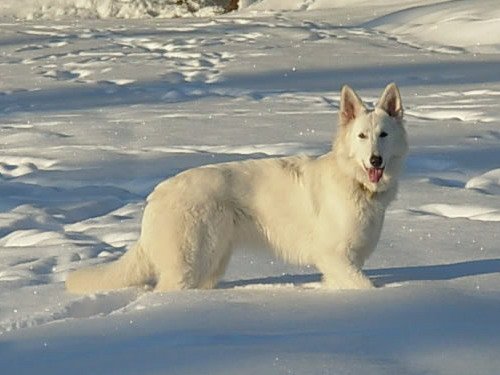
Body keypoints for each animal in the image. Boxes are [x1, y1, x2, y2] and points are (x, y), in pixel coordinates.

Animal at [66, 83, 408, 296]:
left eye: (384, 135)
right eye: (362, 136)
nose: (375, 160)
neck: (355, 182)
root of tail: (159, 193)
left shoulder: (343, 264)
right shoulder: (334, 257)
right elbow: (366, 287)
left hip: (212, 262)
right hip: (190, 263)